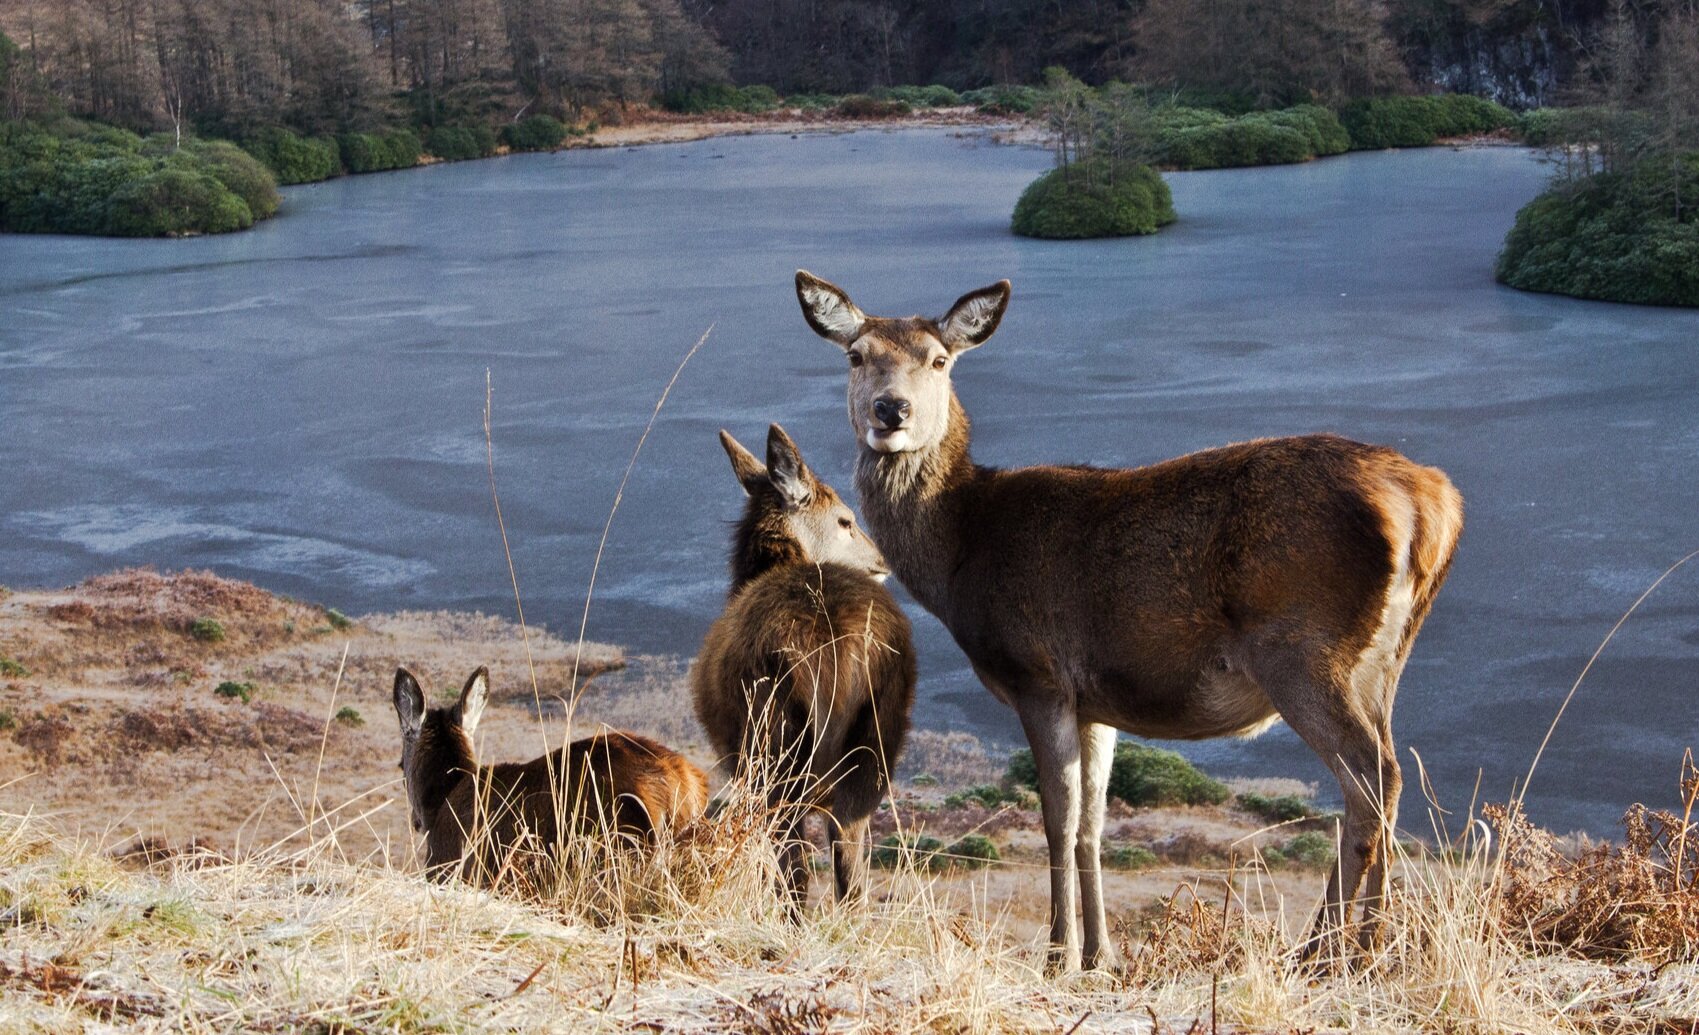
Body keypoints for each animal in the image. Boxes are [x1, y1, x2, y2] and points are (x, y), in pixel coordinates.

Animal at [693, 423, 917, 910]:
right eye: (846, 520)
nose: (884, 562)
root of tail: (838, 650)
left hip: (775, 748)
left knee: (794, 868)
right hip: (876, 745)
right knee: (849, 867)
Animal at [791, 271, 1461, 965]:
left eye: (938, 359)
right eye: (856, 355)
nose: (890, 411)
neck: (960, 557)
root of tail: (1431, 501)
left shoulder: (1039, 674)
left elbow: (1056, 820)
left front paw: (1058, 953)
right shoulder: (1097, 702)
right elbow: (1092, 823)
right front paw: (1100, 954)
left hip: (1303, 649)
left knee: (1372, 781)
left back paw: (1327, 952)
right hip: (1383, 664)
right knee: (1388, 778)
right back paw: (1373, 945)